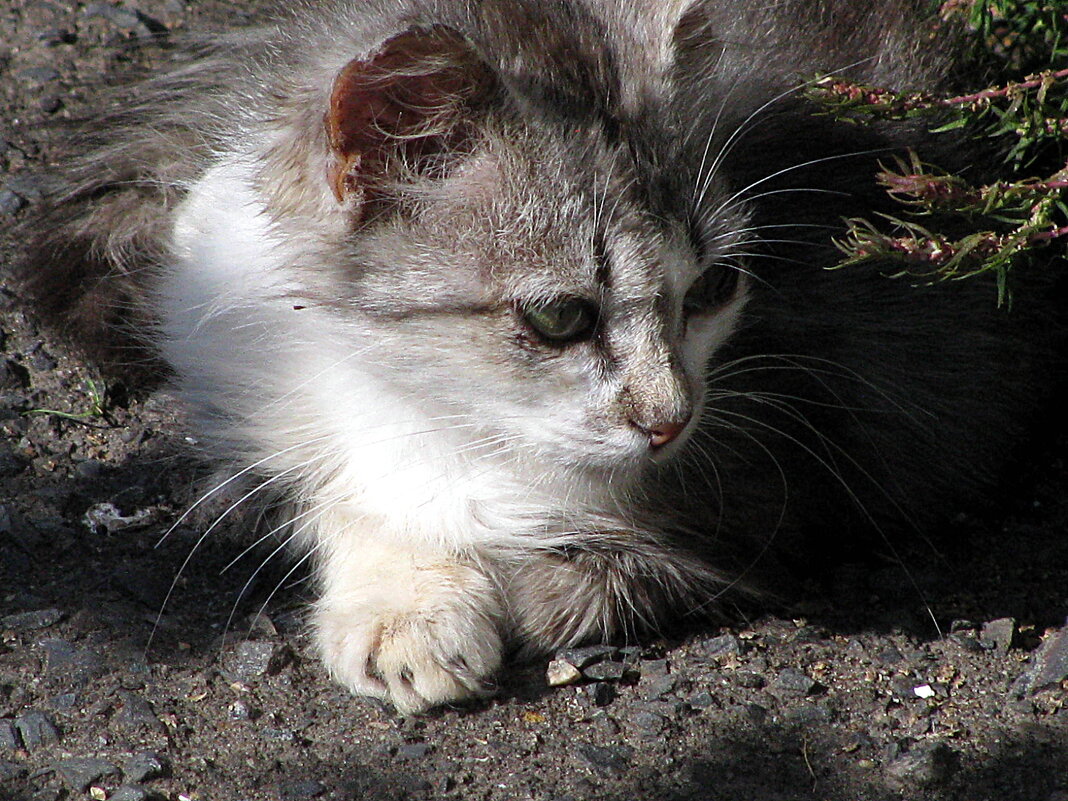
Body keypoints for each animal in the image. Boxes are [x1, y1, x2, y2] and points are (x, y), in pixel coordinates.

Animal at [14, 0, 1059, 713]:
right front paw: (405, 599)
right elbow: (331, 489)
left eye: (716, 287)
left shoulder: (830, 432)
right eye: (560, 317)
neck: (425, 393)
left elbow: (588, 561)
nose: (670, 418)